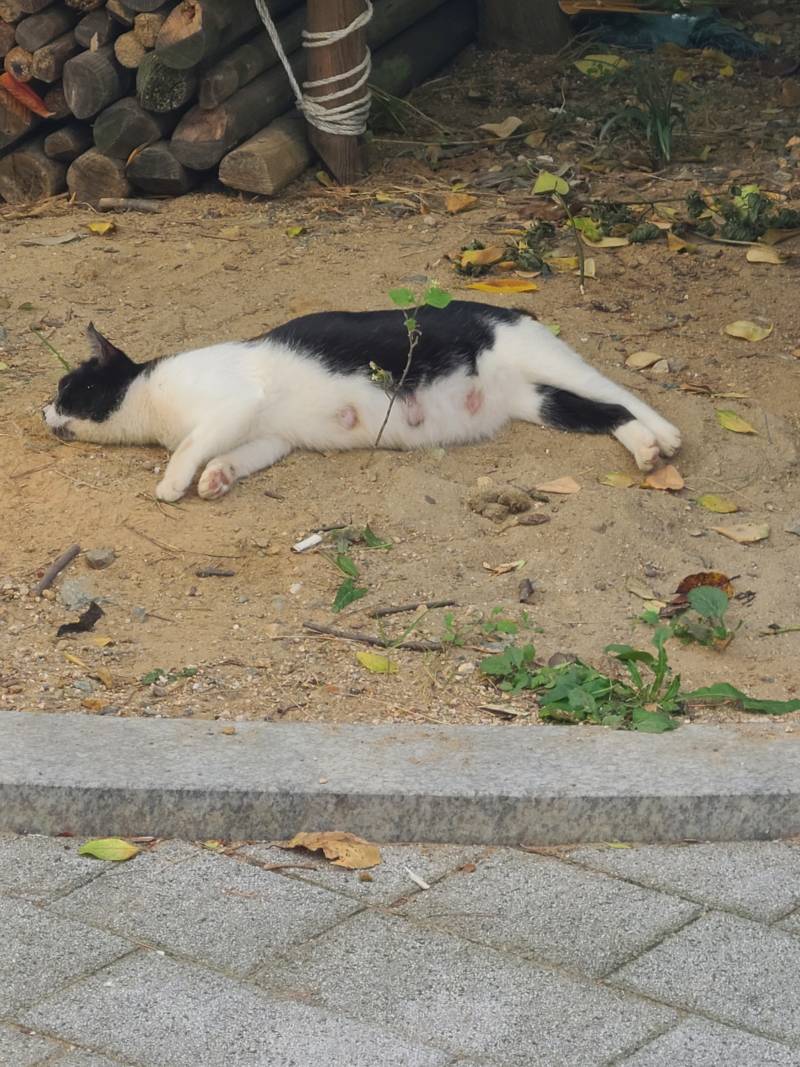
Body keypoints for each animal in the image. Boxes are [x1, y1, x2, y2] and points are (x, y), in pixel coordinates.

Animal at [43, 300, 682, 499]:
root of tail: (507, 308)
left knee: (621, 392)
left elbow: (193, 445)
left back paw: (668, 436)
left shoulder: (233, 403)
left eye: (65, 389)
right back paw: (647, 451)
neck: (152, 403)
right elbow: (232, 455)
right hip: (539, 402)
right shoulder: (267, 437)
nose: (41, 410)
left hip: (544, 358)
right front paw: (217, 478)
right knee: (609, 414)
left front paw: (174, 481)